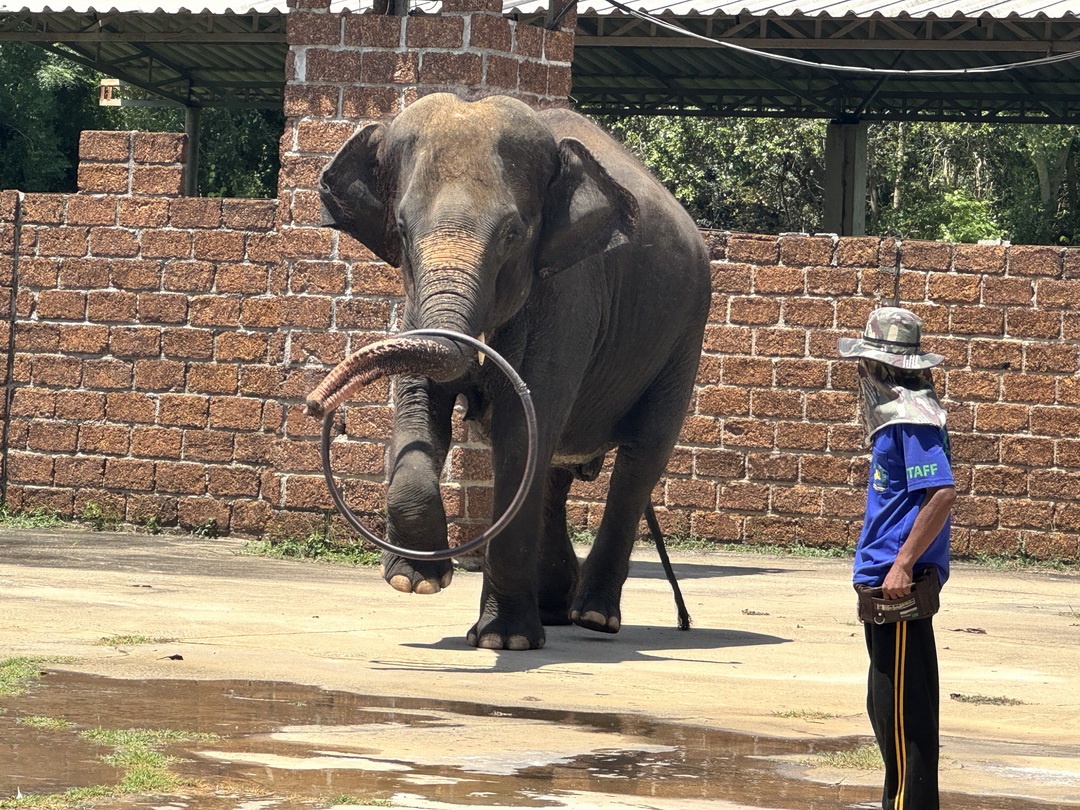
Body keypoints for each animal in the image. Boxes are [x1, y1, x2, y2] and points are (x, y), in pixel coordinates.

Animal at [314, 93, 710, 650]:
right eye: (403, 230)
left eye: (512, 234)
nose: (316, 403)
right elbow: (419, 408)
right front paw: (415, 582)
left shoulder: (570, 297)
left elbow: (521, 432)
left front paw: (505, 642)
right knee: (555, 473)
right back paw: (555, 613)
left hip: (684, 337)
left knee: (639, 459)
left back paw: (593, 618)